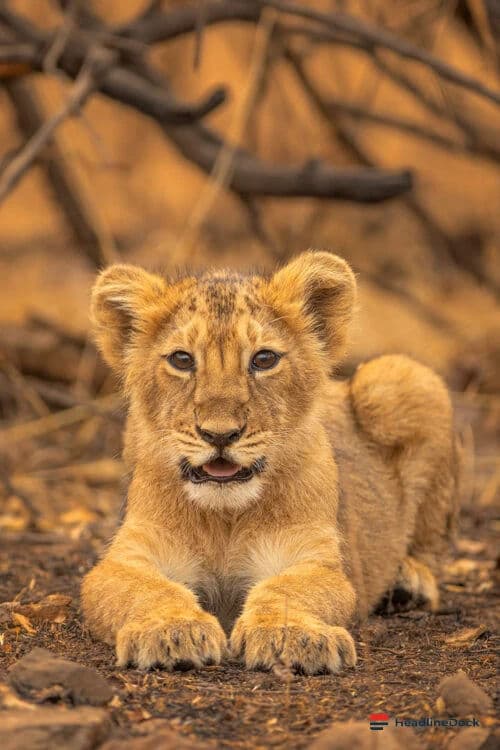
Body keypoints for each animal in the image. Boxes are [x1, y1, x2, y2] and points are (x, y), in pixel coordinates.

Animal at [81, 251, 459, 675]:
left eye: (264, 359)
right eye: (181, 359)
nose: (220, 434)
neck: (224, 519)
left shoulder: (314, 559)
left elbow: (287, 590)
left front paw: (291, 634)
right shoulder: (127, 557)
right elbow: (148, 589)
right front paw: (171, 630)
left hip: (404, 379)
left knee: (429, 546)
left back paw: (407, 583)